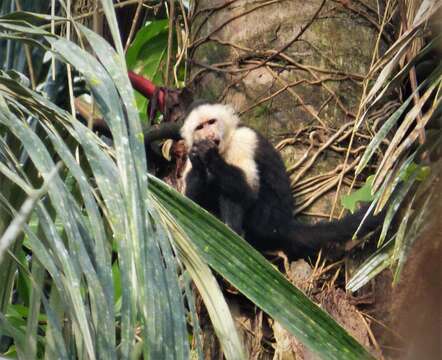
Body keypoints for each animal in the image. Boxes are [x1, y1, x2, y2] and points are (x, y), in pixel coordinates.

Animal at [180, 101, 384, 258]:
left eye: (211, 122)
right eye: (200, 127)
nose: (208, 135)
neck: (225, 146)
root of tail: (283, 224)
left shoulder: (243, 139)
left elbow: (247, 192)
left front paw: (210, 155)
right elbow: (191, 201)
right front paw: (199, 161)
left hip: (266, 218)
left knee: (233, 193)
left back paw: (232, 234)